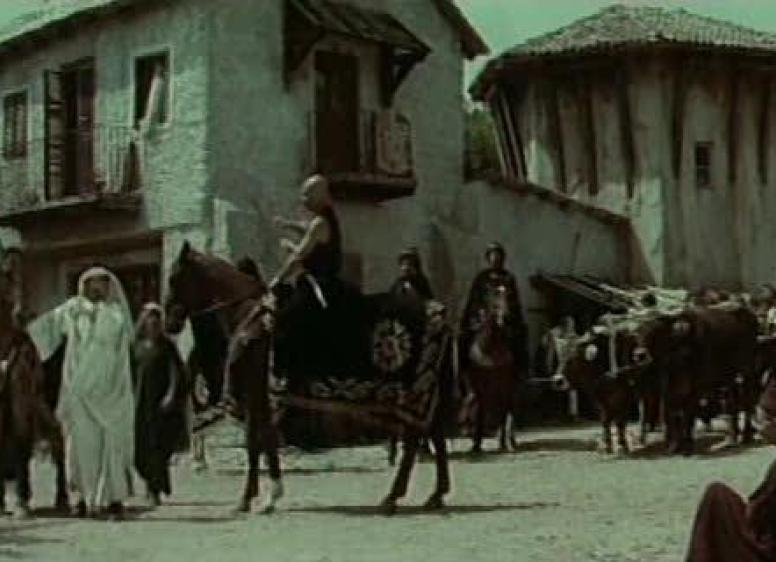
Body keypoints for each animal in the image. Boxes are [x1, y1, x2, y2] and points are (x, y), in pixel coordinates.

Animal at [164, 242, 455, 515]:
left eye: (173, 278)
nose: (170, 323)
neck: (247, 315)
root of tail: (439, 314)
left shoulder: (256, 391)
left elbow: (256, 441)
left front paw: (255, 498)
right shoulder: (261, 395)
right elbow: (262, 440)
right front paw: (265, 496)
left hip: (414, 392)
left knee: (415, 438)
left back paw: (393, 497)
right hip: (426, 391)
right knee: (435, 434)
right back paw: (435, 495)